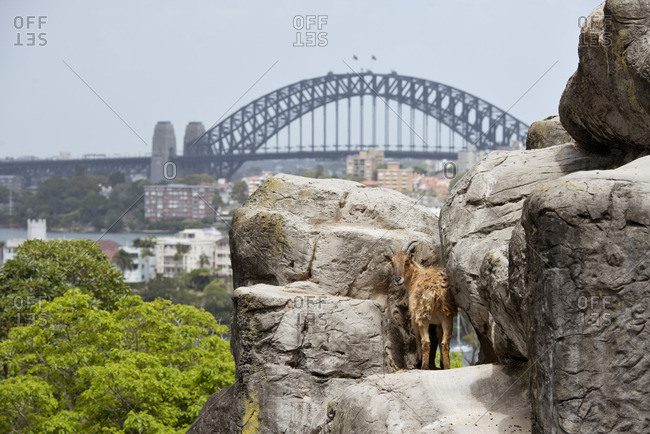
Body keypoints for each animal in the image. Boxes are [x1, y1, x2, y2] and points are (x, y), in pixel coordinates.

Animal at [387, 241, 458, 369]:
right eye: (392, 262)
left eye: (407, 260)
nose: (398, 279)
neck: (415, 277)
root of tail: (436, 291)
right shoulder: (438, 322)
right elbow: (439, 337)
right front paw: (441, 363)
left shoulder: (414, 318)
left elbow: (417, 338)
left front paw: (417, 361)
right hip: (447, 315)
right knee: (445, 343)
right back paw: (446, 366)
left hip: (422, 316)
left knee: (425, 341)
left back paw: (424, 366)